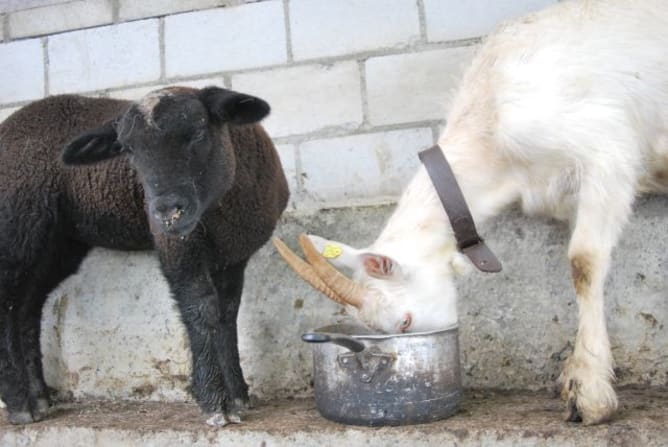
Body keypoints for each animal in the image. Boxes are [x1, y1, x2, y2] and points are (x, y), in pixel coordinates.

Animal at [0, 86, 290, 428]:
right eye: (128, 149)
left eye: (199, 131)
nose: (166, 211)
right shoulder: (178, 246)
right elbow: (200, 310)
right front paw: (214, 403)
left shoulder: (233, 258)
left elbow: (226, 314)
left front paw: (237, 396)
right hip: (16, 229)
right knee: (8, 307)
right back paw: (20, 405)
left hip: (57, 243)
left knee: (27, 307)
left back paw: (39, 400)